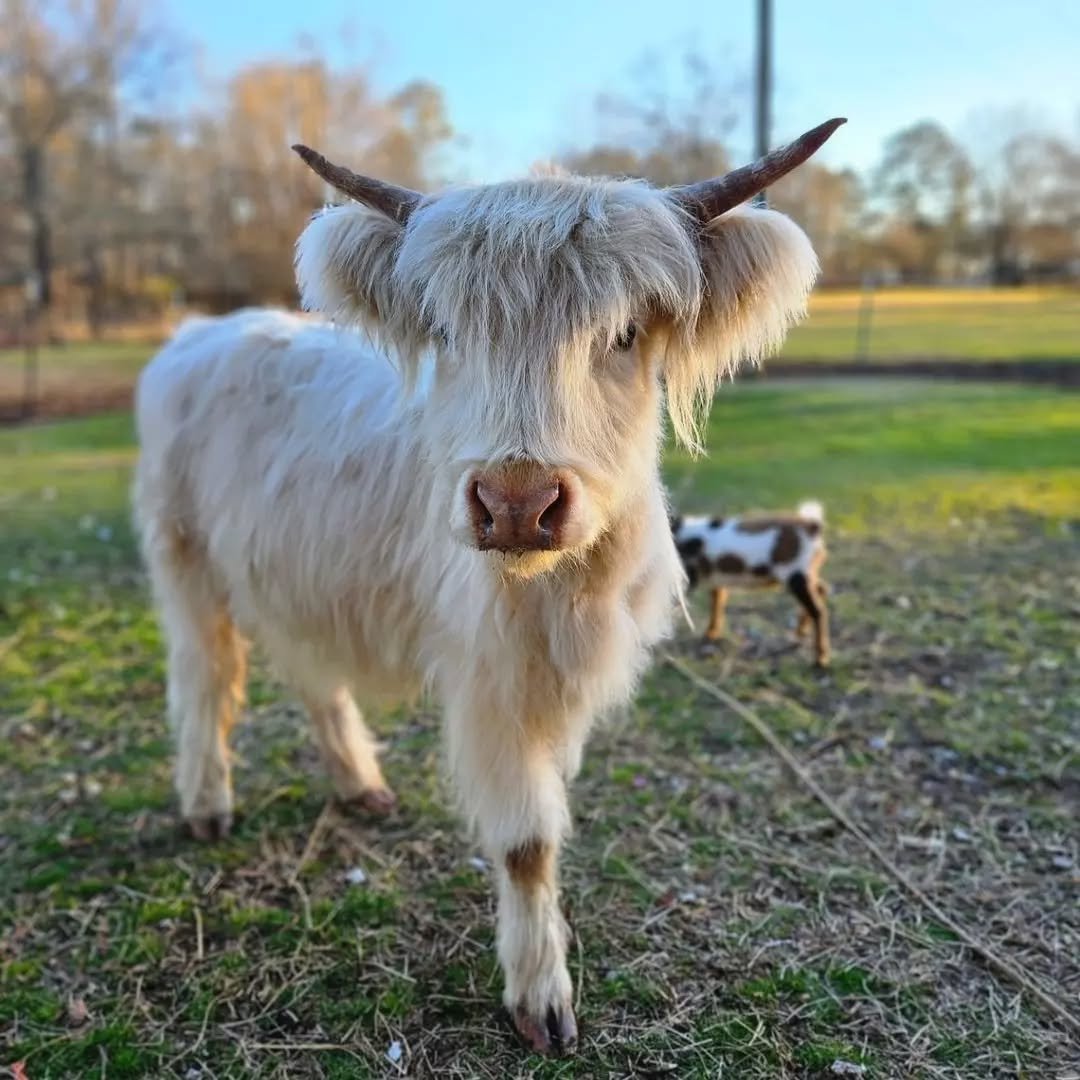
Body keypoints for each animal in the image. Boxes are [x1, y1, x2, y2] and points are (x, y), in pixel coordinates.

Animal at [672, 501, 830, 666]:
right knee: (822, 590)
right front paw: (710, 635)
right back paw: (799, 633)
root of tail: (813, 526)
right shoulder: (716, 580)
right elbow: (717, 602)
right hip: (808, 572)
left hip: (796, 572)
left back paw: (820, 660)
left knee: (817, 610)